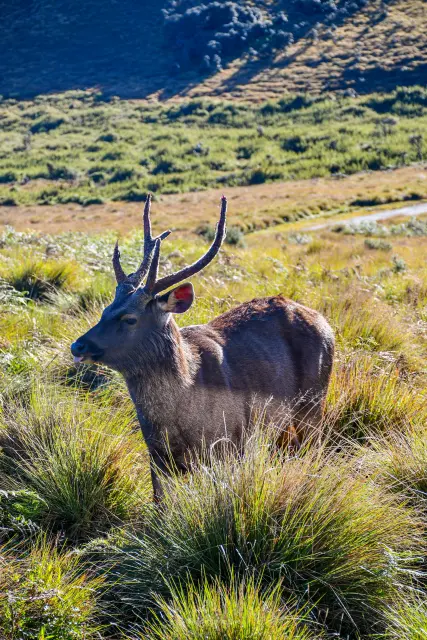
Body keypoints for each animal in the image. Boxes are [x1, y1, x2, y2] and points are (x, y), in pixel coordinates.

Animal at [71, 195, 334, 500]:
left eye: (130, 318)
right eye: (104, 310)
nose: (77, 345)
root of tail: (326, 323)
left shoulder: (227, 444)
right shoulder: (156, 455)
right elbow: (159, 503)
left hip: (314, 401)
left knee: (313, 451)